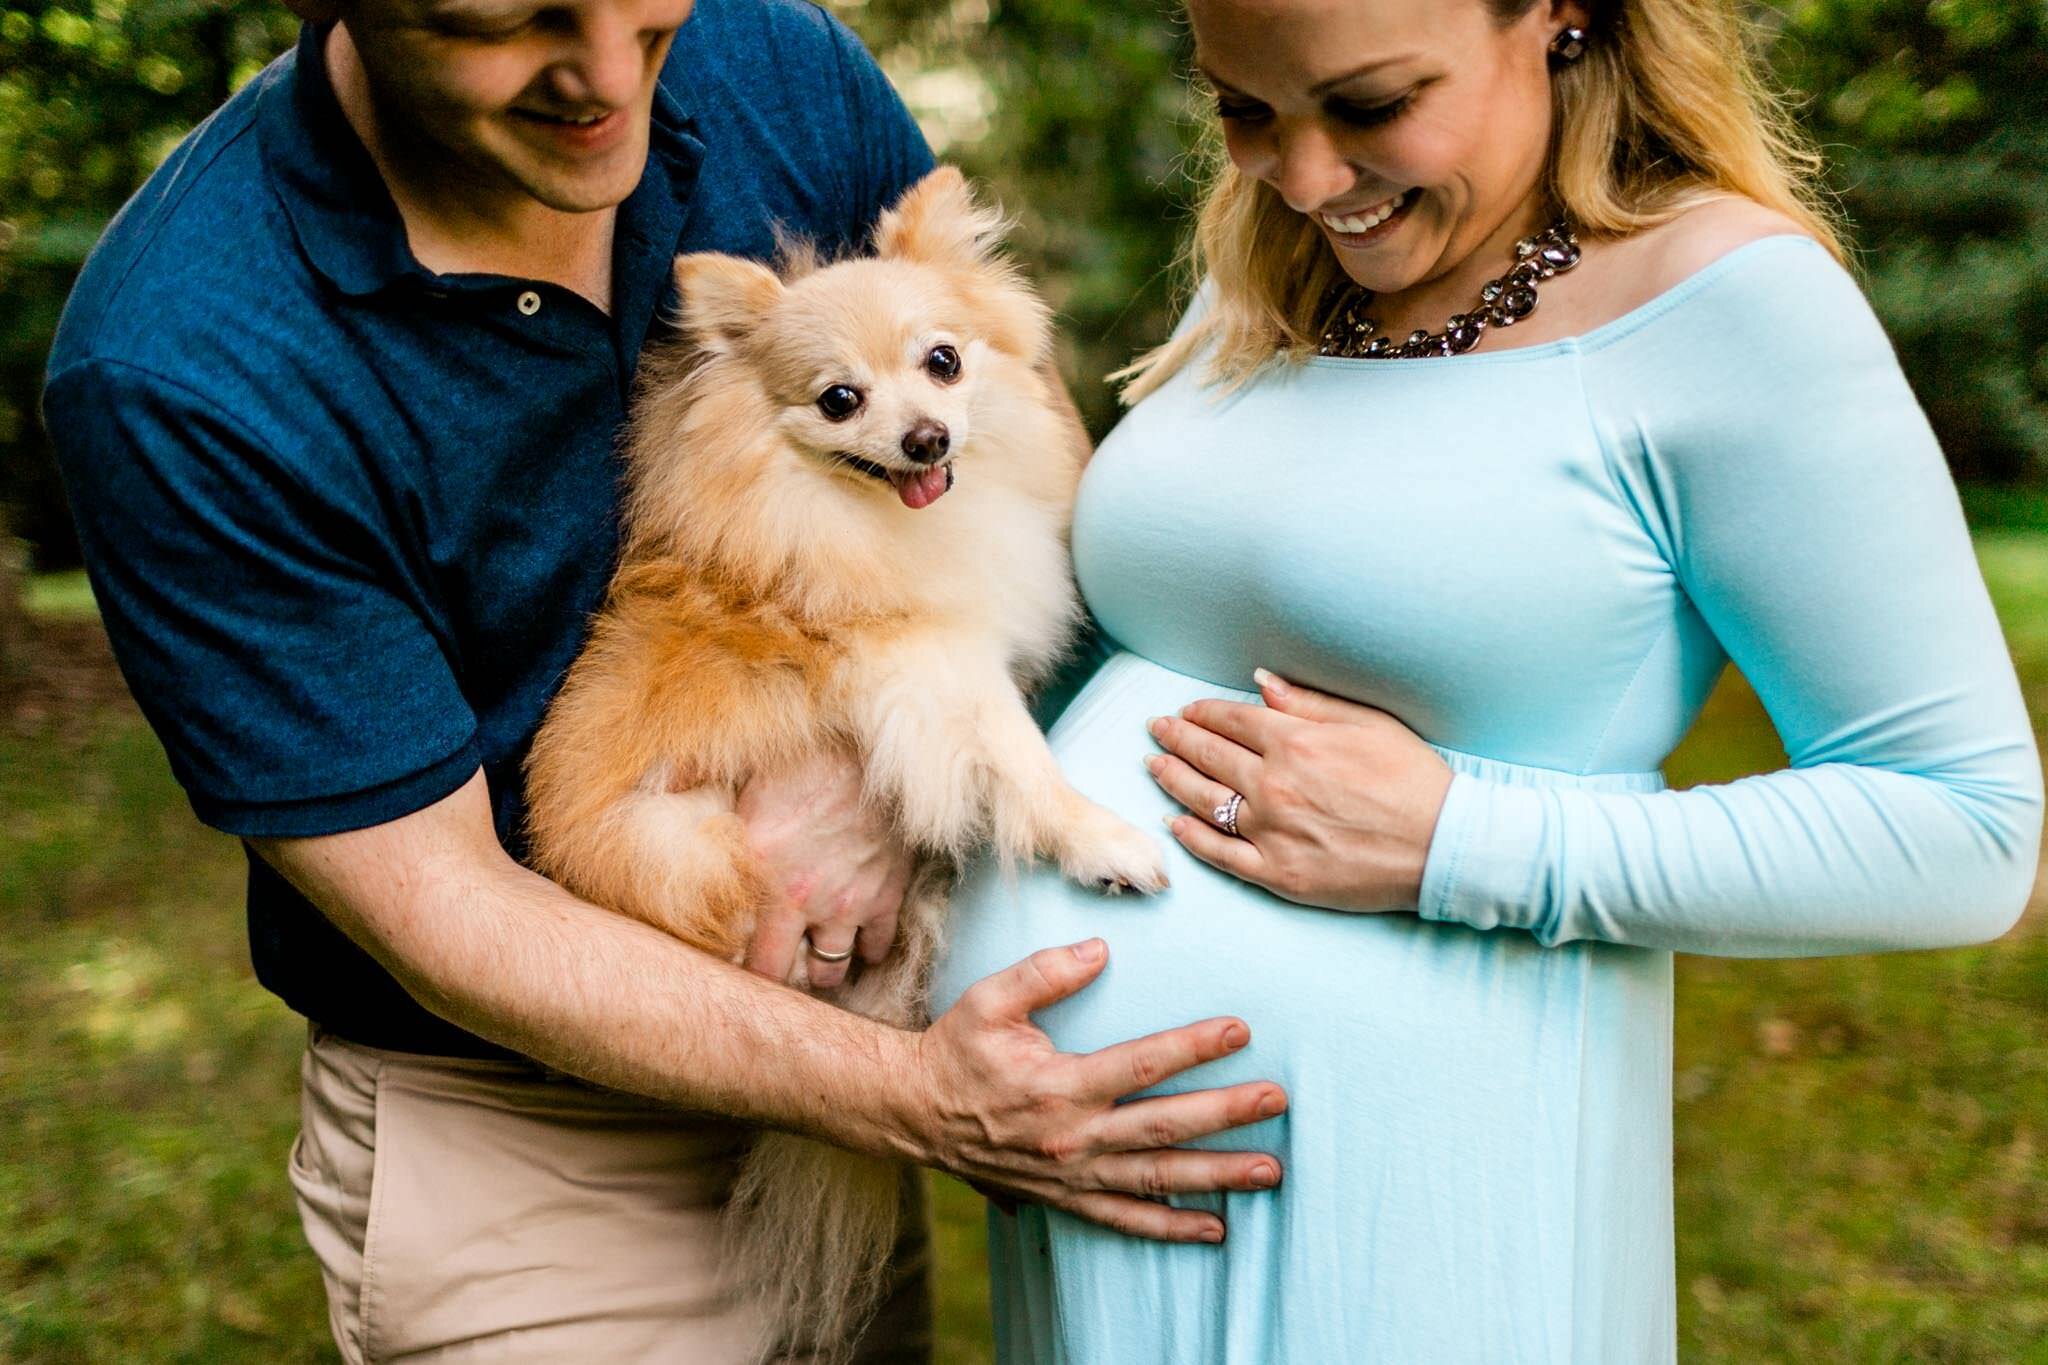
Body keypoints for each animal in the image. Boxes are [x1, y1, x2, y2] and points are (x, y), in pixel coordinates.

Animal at [520, 173, 1171, 1365]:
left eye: (943, 362)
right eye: (836, 401)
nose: (923, 437)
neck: (858, 517)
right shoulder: (931, 663)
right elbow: (1019, 760)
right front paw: (1095, 839)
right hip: (695, 852)